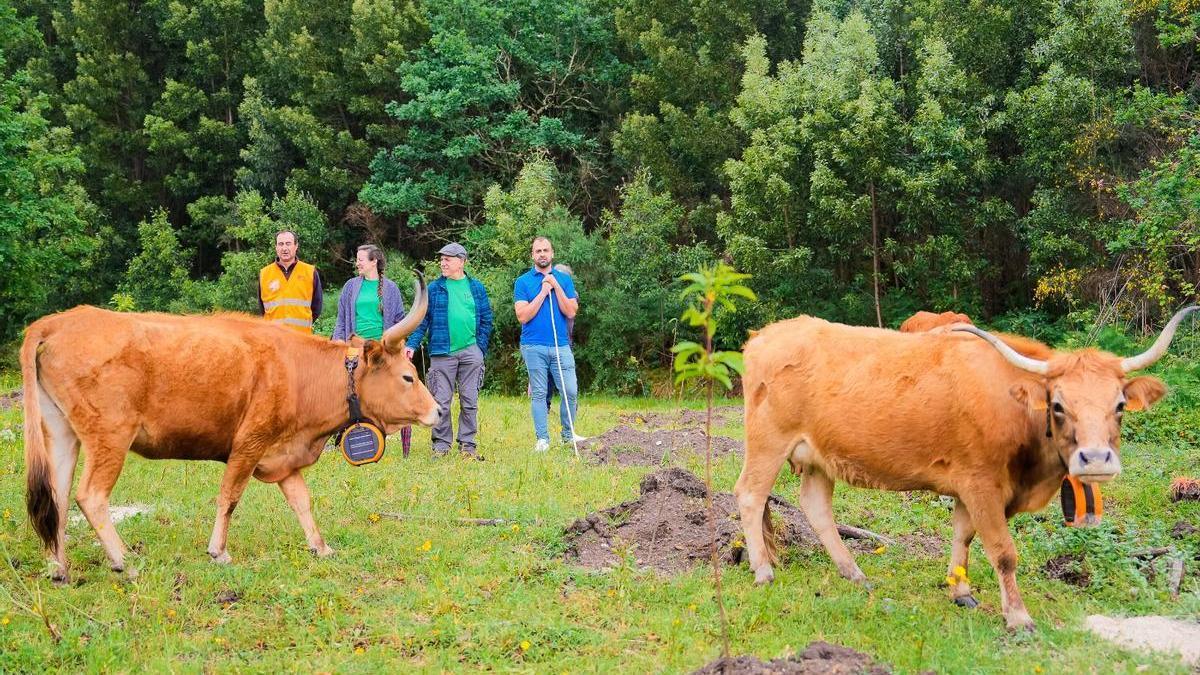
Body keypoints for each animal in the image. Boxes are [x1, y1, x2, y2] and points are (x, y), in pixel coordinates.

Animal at [22, 277, 439, 583]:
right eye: (407, 376)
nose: (436, 411)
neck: (299, 371)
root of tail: (60, 320)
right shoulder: (248, 444)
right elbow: (230, 497)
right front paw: (218, 551)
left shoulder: (283, 456)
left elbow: (301, 500)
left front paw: (320, 547)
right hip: (110, 435)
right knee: (90, 496)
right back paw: (125, 560)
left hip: (61, 433)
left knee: (56, 498)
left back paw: (59, 568)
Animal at [734, 306, 1197, 630]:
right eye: (1058, 405)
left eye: (1118, 405)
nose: (1096, 459)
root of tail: (765, 335)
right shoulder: (981, 484)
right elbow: (1003, 552)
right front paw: (1018, 617)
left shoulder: (970, 487)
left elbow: (963, 535)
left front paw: (961, 590)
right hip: (768, 443)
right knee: (751, 496)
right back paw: (763, 570)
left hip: (817, 457)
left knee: (816, 507)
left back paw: (855, 573)